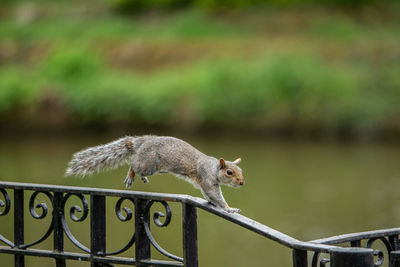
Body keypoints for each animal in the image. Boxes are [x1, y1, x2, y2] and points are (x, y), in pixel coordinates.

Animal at [65, 136, 244, 214]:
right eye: (229, 172)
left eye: (241, 171)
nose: (242, 182)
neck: (213, 168)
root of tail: (142, 142)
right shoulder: (207, 178)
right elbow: (215, 195)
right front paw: (229, 208)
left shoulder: (204, 183)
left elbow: (209, 195)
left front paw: (215, 204)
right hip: (148, 165)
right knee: (133, 164)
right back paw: (131, 175)